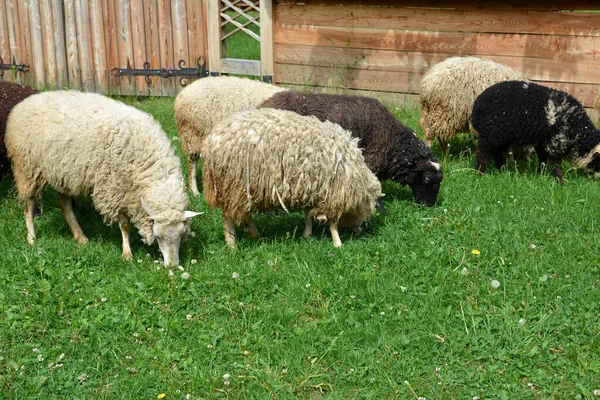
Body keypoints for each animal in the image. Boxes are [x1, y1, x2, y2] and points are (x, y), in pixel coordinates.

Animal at [5, 90, 202, 266]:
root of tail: (25, 102)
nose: (172, 266)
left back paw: (81, 237)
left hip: (64, 172)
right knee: (29, 205)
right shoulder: (115, 189)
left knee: (64, 204)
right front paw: (127, 253)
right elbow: (124, 225)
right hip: (27, 168)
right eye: (158, 236)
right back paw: (31, 238)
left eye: (180, 234)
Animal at [202, 108, 380, 248]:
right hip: (233, 185)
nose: (359, 230)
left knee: (243, 214)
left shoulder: (312, 188)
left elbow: (308, 213)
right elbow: (332, 223)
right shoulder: (333, 193)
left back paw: (255, 235)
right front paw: (337, 243)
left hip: (242, 190)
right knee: (229, 217)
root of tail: (210, 141)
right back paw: (232, 244)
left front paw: (307, 234)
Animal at [472, 81, 600, 181]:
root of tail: (476, 106)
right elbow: (556, 163)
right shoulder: (556, 140)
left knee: (496, 152)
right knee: (481, 152)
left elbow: (542, 158)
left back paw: (502, 170)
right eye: (597, 163)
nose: (596, 180)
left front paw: (541, 173)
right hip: (492, 133)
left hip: (500, 136)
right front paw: (560, 181)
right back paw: (480, 173)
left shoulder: (542, 139)